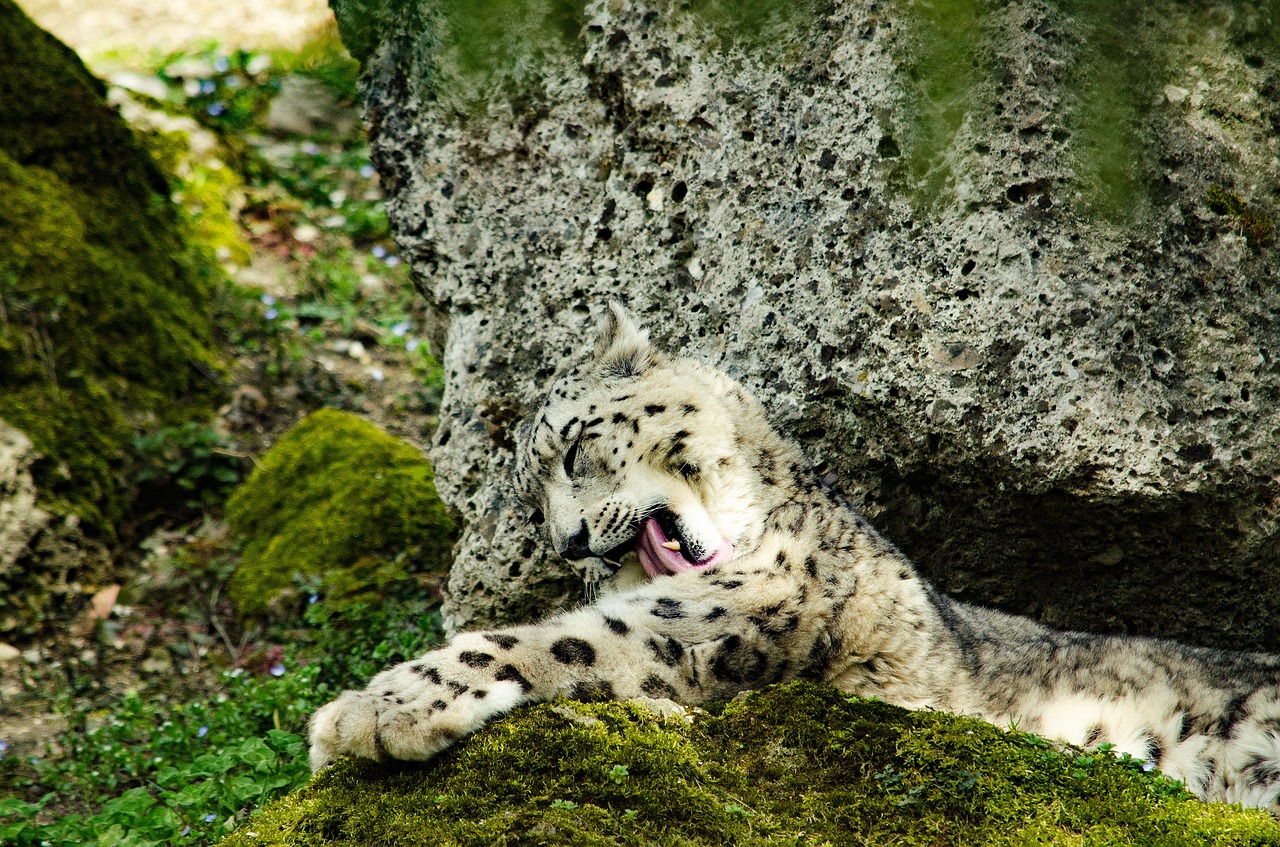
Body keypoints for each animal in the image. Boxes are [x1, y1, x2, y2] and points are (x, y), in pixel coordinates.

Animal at [309, 305, 1280, 818]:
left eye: (575, 447)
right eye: (543, 528)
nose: (575, 542)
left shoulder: (734, 613)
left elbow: (559, 641)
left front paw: (366, 713)